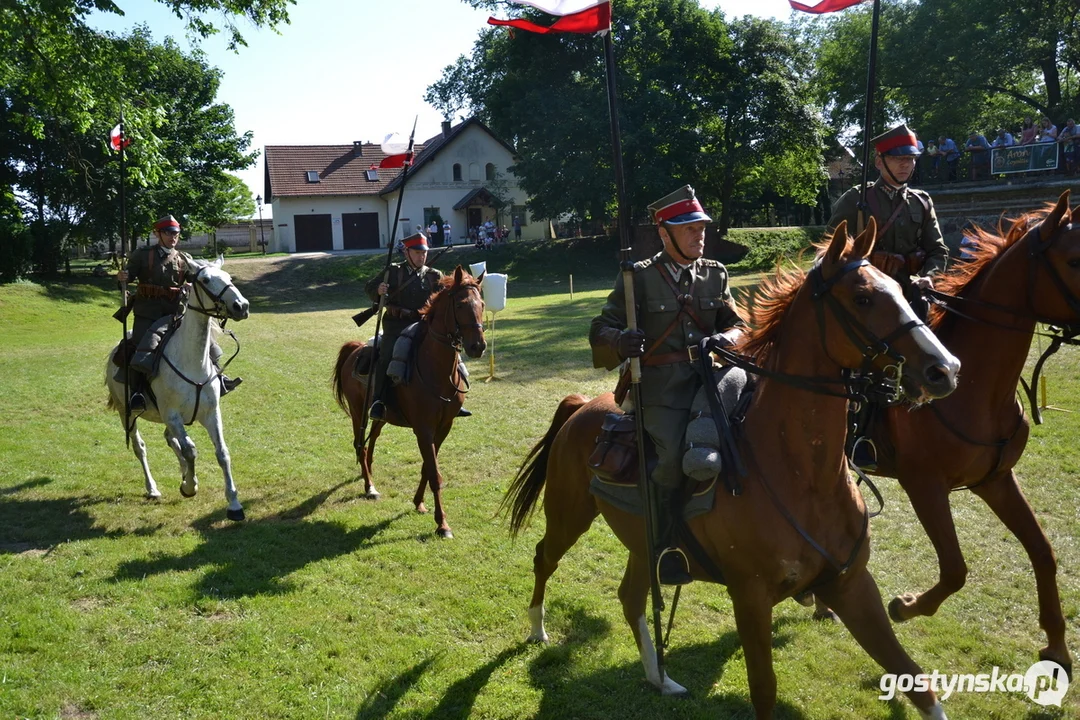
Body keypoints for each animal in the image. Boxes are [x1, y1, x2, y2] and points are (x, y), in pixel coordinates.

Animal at [104, 255, 249, 520]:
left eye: (228, 277)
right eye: (205, 279)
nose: (241, 306)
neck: (191, 361)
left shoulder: (211, 413)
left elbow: (222, 453)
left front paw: (234, 504)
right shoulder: (172, 415)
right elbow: (190, 449)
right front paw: (189, 487)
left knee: (170, 439)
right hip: (125, 412)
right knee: (141, 447)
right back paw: (153, 488)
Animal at [330, 267, 488, 537]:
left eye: (482, 304)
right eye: (460, 304)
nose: (478, 346)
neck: (435, 368)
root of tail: (356, 348)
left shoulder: (443, 427)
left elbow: (428, 467)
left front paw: (419, 503)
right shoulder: (423, 429)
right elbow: (434, 472)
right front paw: (442, 524)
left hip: (381, 415)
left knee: (372, 441)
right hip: (357, 411)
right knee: (360, 445)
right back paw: (370, 487)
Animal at [501, 222, 959, 716]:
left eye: (898, 287)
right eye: (862, 297)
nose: (945, 369)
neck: (804, 476)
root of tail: (584, 404)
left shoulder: (851, 586)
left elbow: (915, 679)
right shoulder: (750, 597)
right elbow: (764, 688)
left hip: (642, 543)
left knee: (630, 598)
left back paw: (660, 678)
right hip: (568, 515)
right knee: (544, 557)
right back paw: (537, 629)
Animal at [812, 191, 1080, 677]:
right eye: (1073, 260)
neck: (976, 389)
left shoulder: (995, 481)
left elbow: (1043, 552)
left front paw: (1056, 647)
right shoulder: (925, 486)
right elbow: (955, 569)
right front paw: (905, 606)